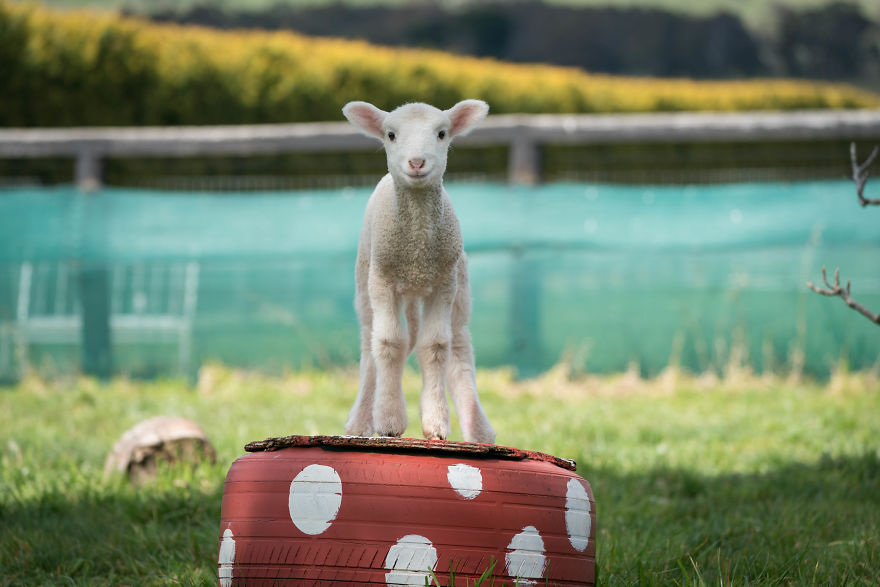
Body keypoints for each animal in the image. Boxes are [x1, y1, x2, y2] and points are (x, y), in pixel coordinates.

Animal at [341, 99, 496, 444]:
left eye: (442, 133)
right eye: (390, 134)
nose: (416, 162)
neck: (416, 248)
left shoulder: (443, 284)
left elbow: (435, 347)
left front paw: (435, 424)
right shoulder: (383, 280)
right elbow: (388, 343)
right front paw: (388, 421)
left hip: (458, 286)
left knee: (458, 350)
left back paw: (479, 431)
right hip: (365, 281)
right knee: (370, 346)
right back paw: (360, 421)